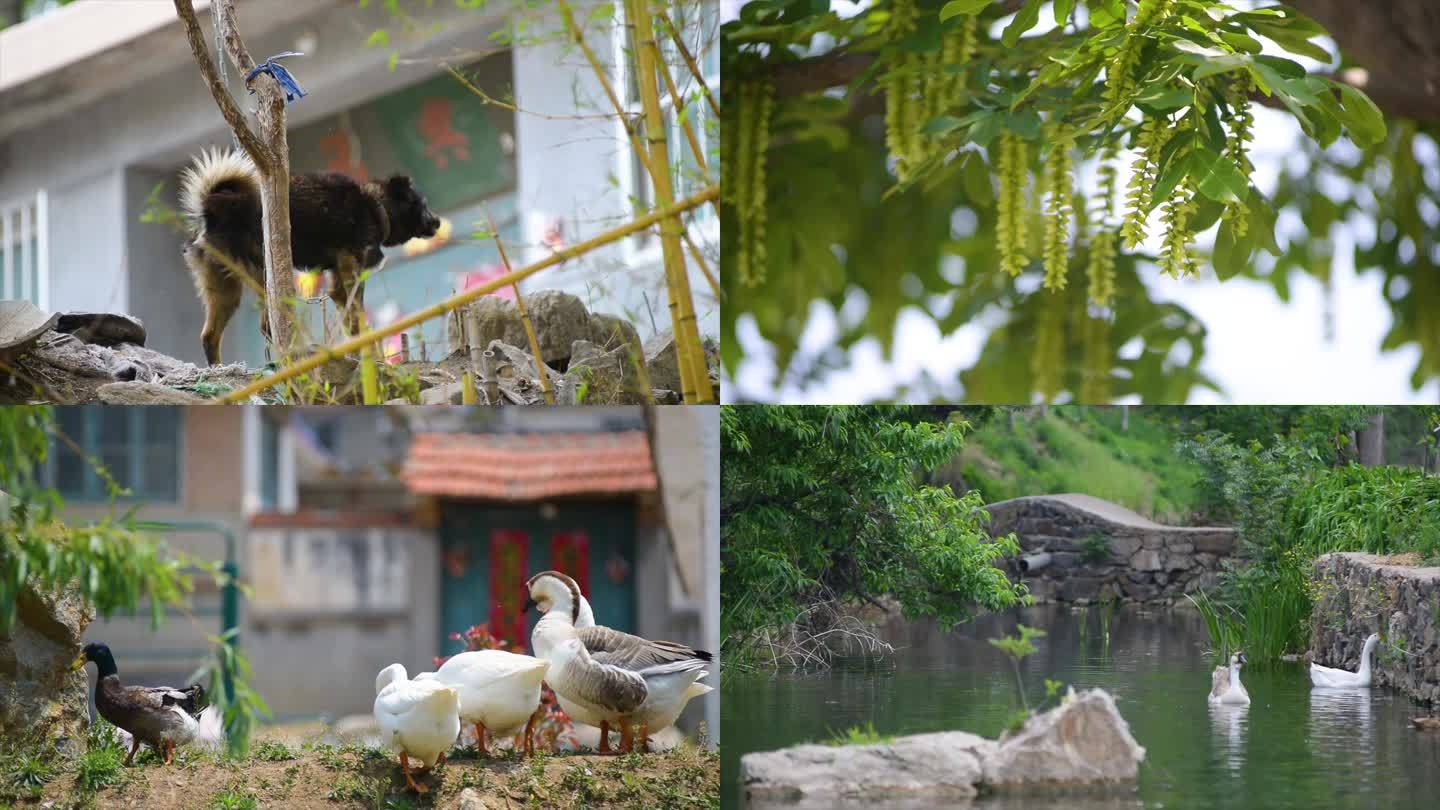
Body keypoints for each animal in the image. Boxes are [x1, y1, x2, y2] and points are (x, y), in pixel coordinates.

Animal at [180, 149, 437, 364]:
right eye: (422, 204)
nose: (437, 222)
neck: (375, 206)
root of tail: (212, 211)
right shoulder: (351, 273)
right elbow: (359, 321)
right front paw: (372, 358)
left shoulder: (337, 283)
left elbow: (352, 324)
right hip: (264, 276)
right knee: (267, 326)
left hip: (225, 289)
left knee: (211, 336)